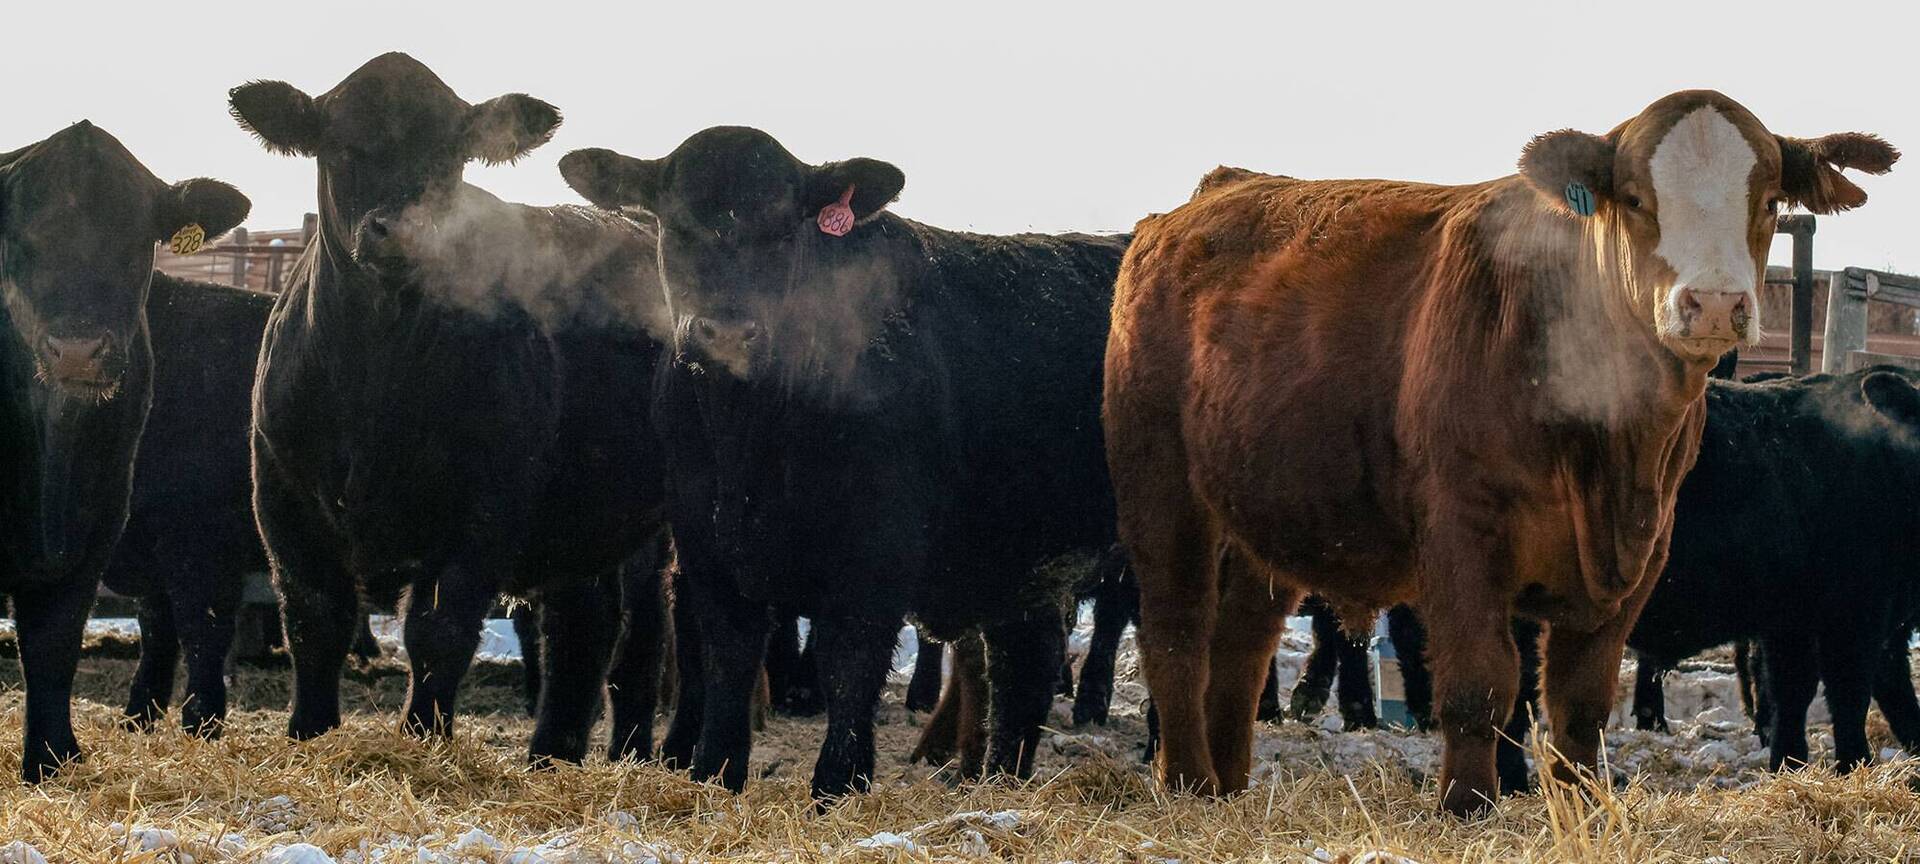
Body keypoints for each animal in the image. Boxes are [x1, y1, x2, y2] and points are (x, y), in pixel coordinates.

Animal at [1, 121, 249, 781]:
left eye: (137, 239)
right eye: (20, 237)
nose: (77, 350)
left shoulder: (100, 524)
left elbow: (55, 644)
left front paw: (52, 758)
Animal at [229, 52, 670, 765]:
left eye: (451, 157)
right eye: (341, 147)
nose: (405, 231)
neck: (375, 374)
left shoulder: (486, 505)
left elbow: (440, 630)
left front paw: (422, 739)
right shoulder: (281, 493)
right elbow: (315, 618)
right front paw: (308, 734)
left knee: (641, 633)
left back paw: (631, 752)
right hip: (584, 507)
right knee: (582, 622)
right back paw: (551, 754)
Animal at [560, 126, 1128, 799]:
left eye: (786, 230)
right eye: (675, 227)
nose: (726, 333)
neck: (748, 442)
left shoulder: (875, 555)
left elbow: (848, 671)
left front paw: (836, 787)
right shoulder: (708, 547)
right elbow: (727, 663)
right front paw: (713, 776)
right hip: (1019, 555)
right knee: (1023, 667)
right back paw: (999, 783)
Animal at [1102, 90, 1896, 815]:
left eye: (1767, 199)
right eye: (1636, 198)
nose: (1714, 303)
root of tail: (1208, 198)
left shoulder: (1638, 553)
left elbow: (1579, 703)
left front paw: (1580, 808)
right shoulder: (1462, 537)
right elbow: (1479, 687)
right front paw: (1466, 805)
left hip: (1264, 516)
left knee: (1240, 648)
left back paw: (1228, 791)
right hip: (1163, 494)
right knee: (1176, 634)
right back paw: (1187, 785)